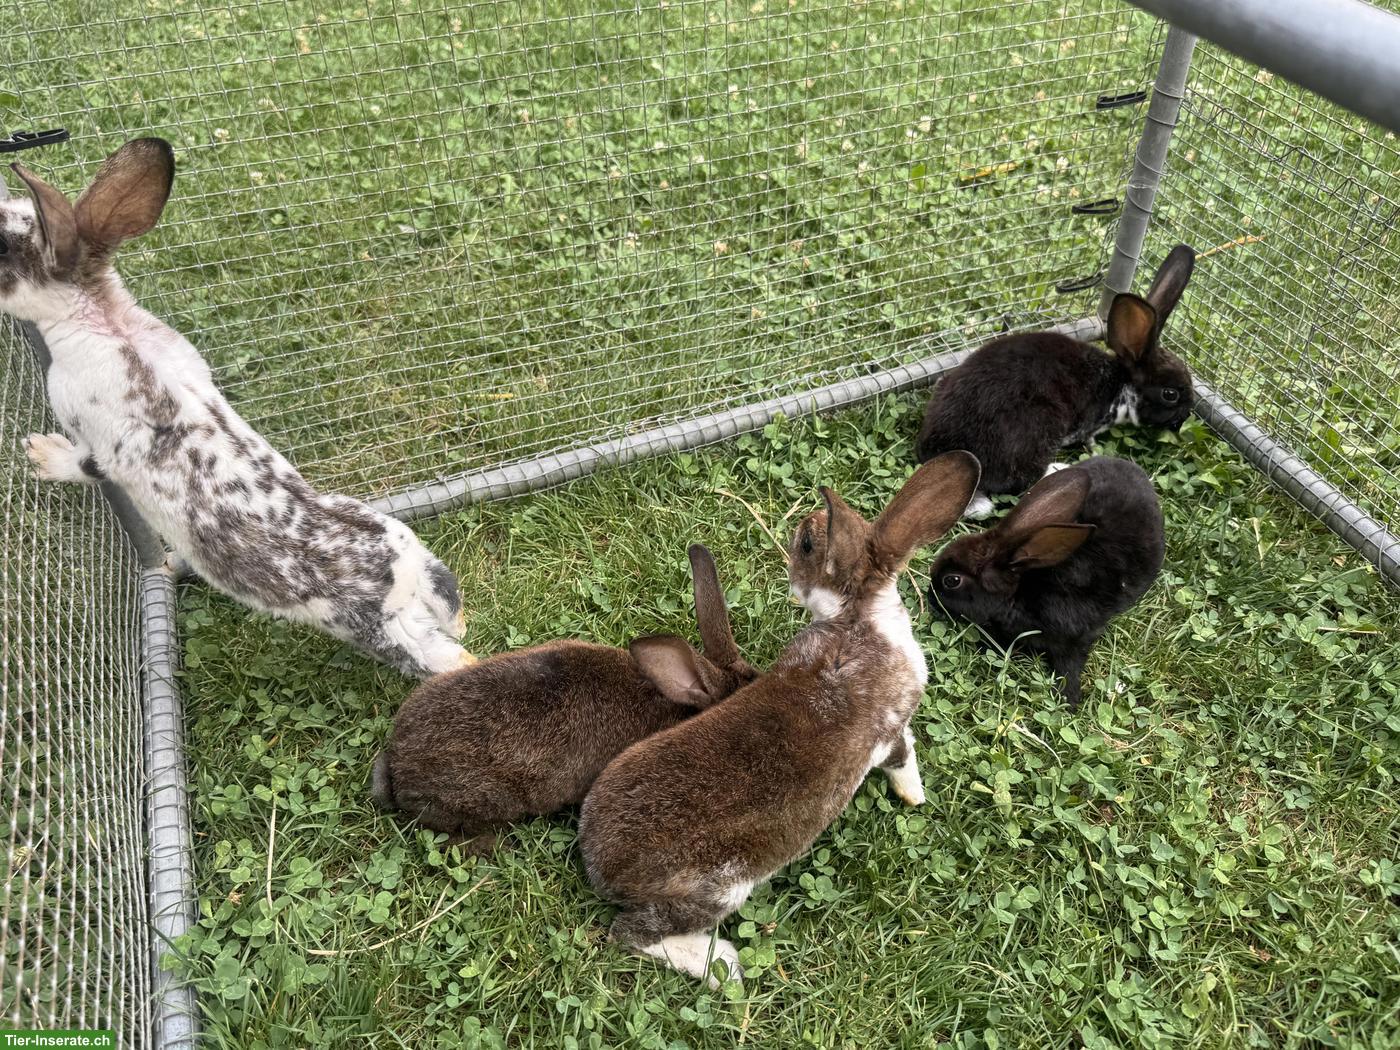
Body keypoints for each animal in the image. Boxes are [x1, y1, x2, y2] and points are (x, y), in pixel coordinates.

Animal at [1, 139, 473, 678]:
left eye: (2, 246)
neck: (98, 318)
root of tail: (404, 574)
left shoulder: (98, 439)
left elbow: (84, 465)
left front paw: (41, 453)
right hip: (426, 564)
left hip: (390, 634)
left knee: (449, 656)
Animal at [578, 452, 980, 987]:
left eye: (807, 543)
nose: (792, 565)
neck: (858, 615)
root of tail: (600, 867)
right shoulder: (889, 730)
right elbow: (902, 756)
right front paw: (914, 796)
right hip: (721, 888)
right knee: (631, 934)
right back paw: (723, 966)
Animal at [916, 245, 1196, 518]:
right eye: (1170, 394)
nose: (1185, 416)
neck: (1121, 383)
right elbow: (1089, 441)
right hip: (1037, 427)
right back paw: (1058, 468)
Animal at [927, 456, 1164, 709]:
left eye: (952, 580)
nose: (930, 597)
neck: (1021, 591)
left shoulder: (1075, 639)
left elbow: (1069, 667)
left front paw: (1069, 701)